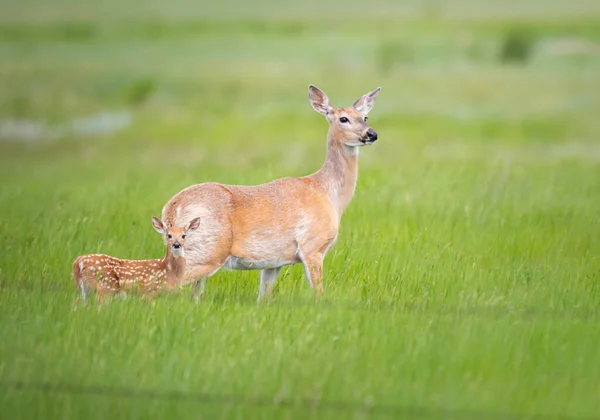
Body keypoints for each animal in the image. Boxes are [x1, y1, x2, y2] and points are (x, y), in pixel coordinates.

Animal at [162, 85, 382, 300]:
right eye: (343, 119)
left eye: (365, 117)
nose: (372, 134)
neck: (327, 192)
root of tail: (172, 207)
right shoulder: (312, 245)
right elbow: (318, 293)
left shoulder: (274, 262)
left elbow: (264, 297)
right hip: (207, 250)